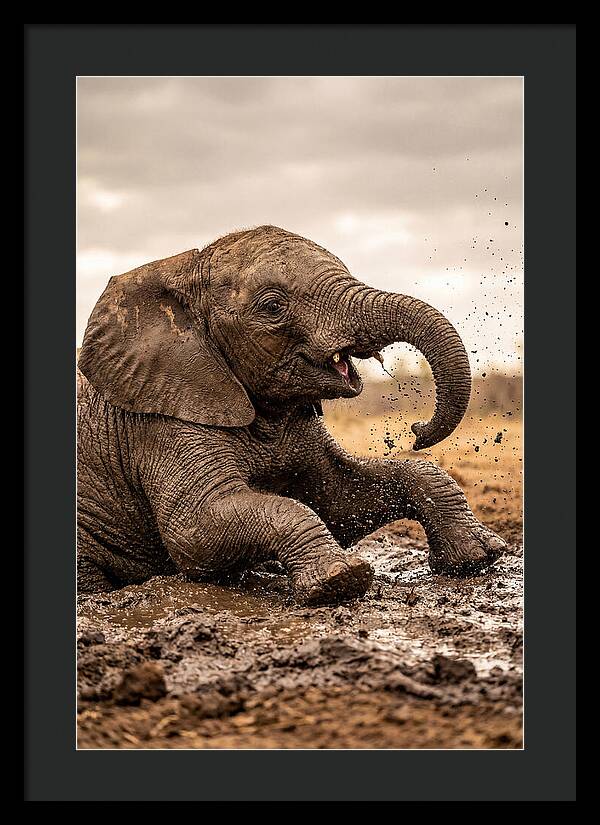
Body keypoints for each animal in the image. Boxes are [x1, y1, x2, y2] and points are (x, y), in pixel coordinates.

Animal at [77, 225, 506, 604]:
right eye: (272, 306)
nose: (417, 430)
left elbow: (339, 499)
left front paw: (479, 556)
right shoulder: (161, 422)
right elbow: (195, 531)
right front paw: (340, 580)